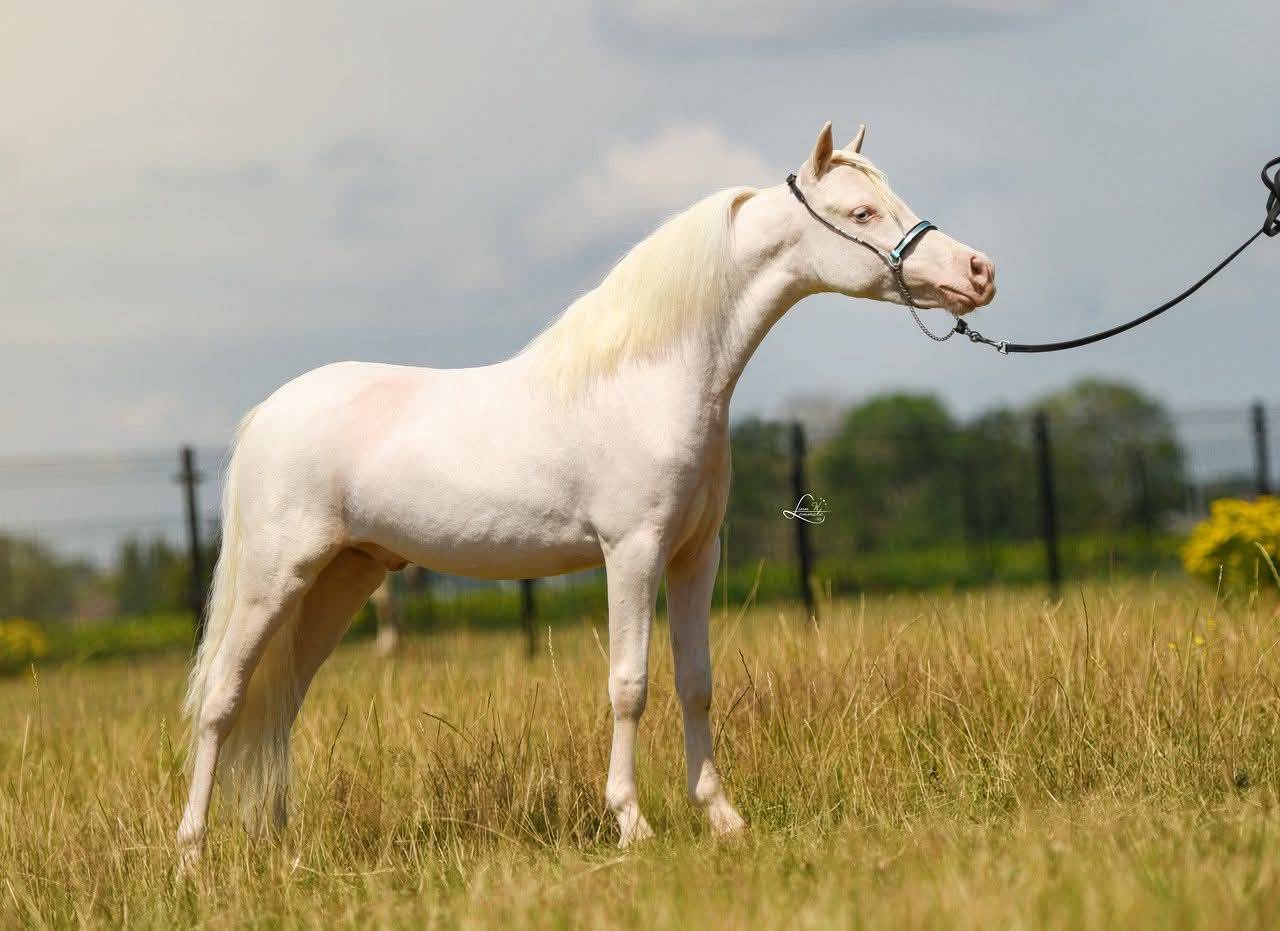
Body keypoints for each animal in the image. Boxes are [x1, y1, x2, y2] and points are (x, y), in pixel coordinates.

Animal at [176, 121, 996, 864]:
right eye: (860, 213)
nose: (979, 272)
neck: (652, 378)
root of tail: (265, 414)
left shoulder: (696, 555)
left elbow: (696, 681)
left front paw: (722, 818)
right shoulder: (631, 552)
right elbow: (629, 684)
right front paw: (632, 822)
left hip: (343, 580)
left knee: (279, 704)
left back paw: (280, 847)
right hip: (275, 578)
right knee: (222, 699)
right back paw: (192, 853)